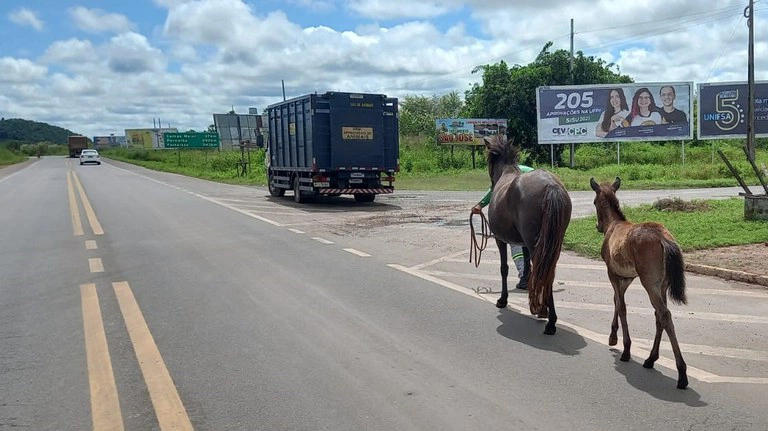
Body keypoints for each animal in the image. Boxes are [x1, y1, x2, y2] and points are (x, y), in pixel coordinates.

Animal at [486, 137, 568, 336]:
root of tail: (551, 186)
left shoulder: (500, 240)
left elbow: (504, 268)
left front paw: (503, 300)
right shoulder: (522, 243)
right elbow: (527, 268)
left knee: (542, 271)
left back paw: (548, 320)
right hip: (554, 244)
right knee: (548, 272)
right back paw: (546, 313)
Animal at [592, 177, 692, 390]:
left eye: (595, 202)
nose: (598, 226)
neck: (614, 224)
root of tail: (664, 239)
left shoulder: (612, 273)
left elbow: (622, 307)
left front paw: (626, 349)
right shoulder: (627, 277)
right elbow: (616, 301)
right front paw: (613, 337)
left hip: (649, 282)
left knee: (664, 314)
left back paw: (681, 373)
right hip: (661, 284)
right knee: (659, 316)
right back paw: (651, 358)